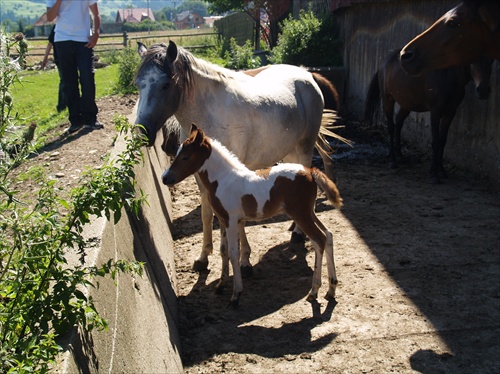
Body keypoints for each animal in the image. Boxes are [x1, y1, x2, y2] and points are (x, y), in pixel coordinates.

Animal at [133, 41, 344, 274]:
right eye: (139, 85)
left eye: (165, 85)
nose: (143, 131)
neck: (210, 114)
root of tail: (306, 73)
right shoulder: (201, 177)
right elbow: (207, 214)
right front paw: (204, 257)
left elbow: (237, 218)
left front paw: (244, 261)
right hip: (289, 151)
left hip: (305, 149)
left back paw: (298, 232)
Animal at [162, 124, 342, 308]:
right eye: (177, 154)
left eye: (185, 157)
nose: (165, 178)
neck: (223, 180)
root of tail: (311, 171)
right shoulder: (222, 220)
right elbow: (223, 251)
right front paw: (220, 285)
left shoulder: (232, 221)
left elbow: (234, 253)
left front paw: (236, 294)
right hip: (309, 212)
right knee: (328, 235)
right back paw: (331, 289)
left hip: (301, 214)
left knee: (319, 240)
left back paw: (314, 291)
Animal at [364, 49, 492, 183]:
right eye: (472, 60)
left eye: (491, 60)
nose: (483, 90)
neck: (448, 77)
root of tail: (384, 62)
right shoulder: (435, 113)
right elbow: (435, 141)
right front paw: (434, 174)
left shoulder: (450, 113)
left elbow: (442, 141)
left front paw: (441, 170)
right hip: (388, 100)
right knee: (391, 127)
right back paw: (392, 160)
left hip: (407, 103)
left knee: (398, 123)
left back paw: (399, 155)